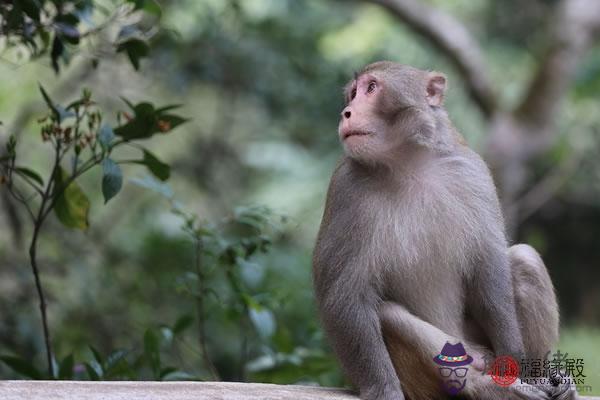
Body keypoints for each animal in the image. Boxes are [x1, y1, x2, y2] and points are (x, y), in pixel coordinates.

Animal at [312, 62, 576, 400]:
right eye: (353, 93)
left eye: (371, 88)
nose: (346, 112)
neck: (409, 164)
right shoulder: (346, 189)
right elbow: (344, 296)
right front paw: (383, 390)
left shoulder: (473, 171)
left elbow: (488, 271)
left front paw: (516, 364)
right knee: (389, 314)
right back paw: (483, 388)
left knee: (524, 260)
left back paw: (537, 377)